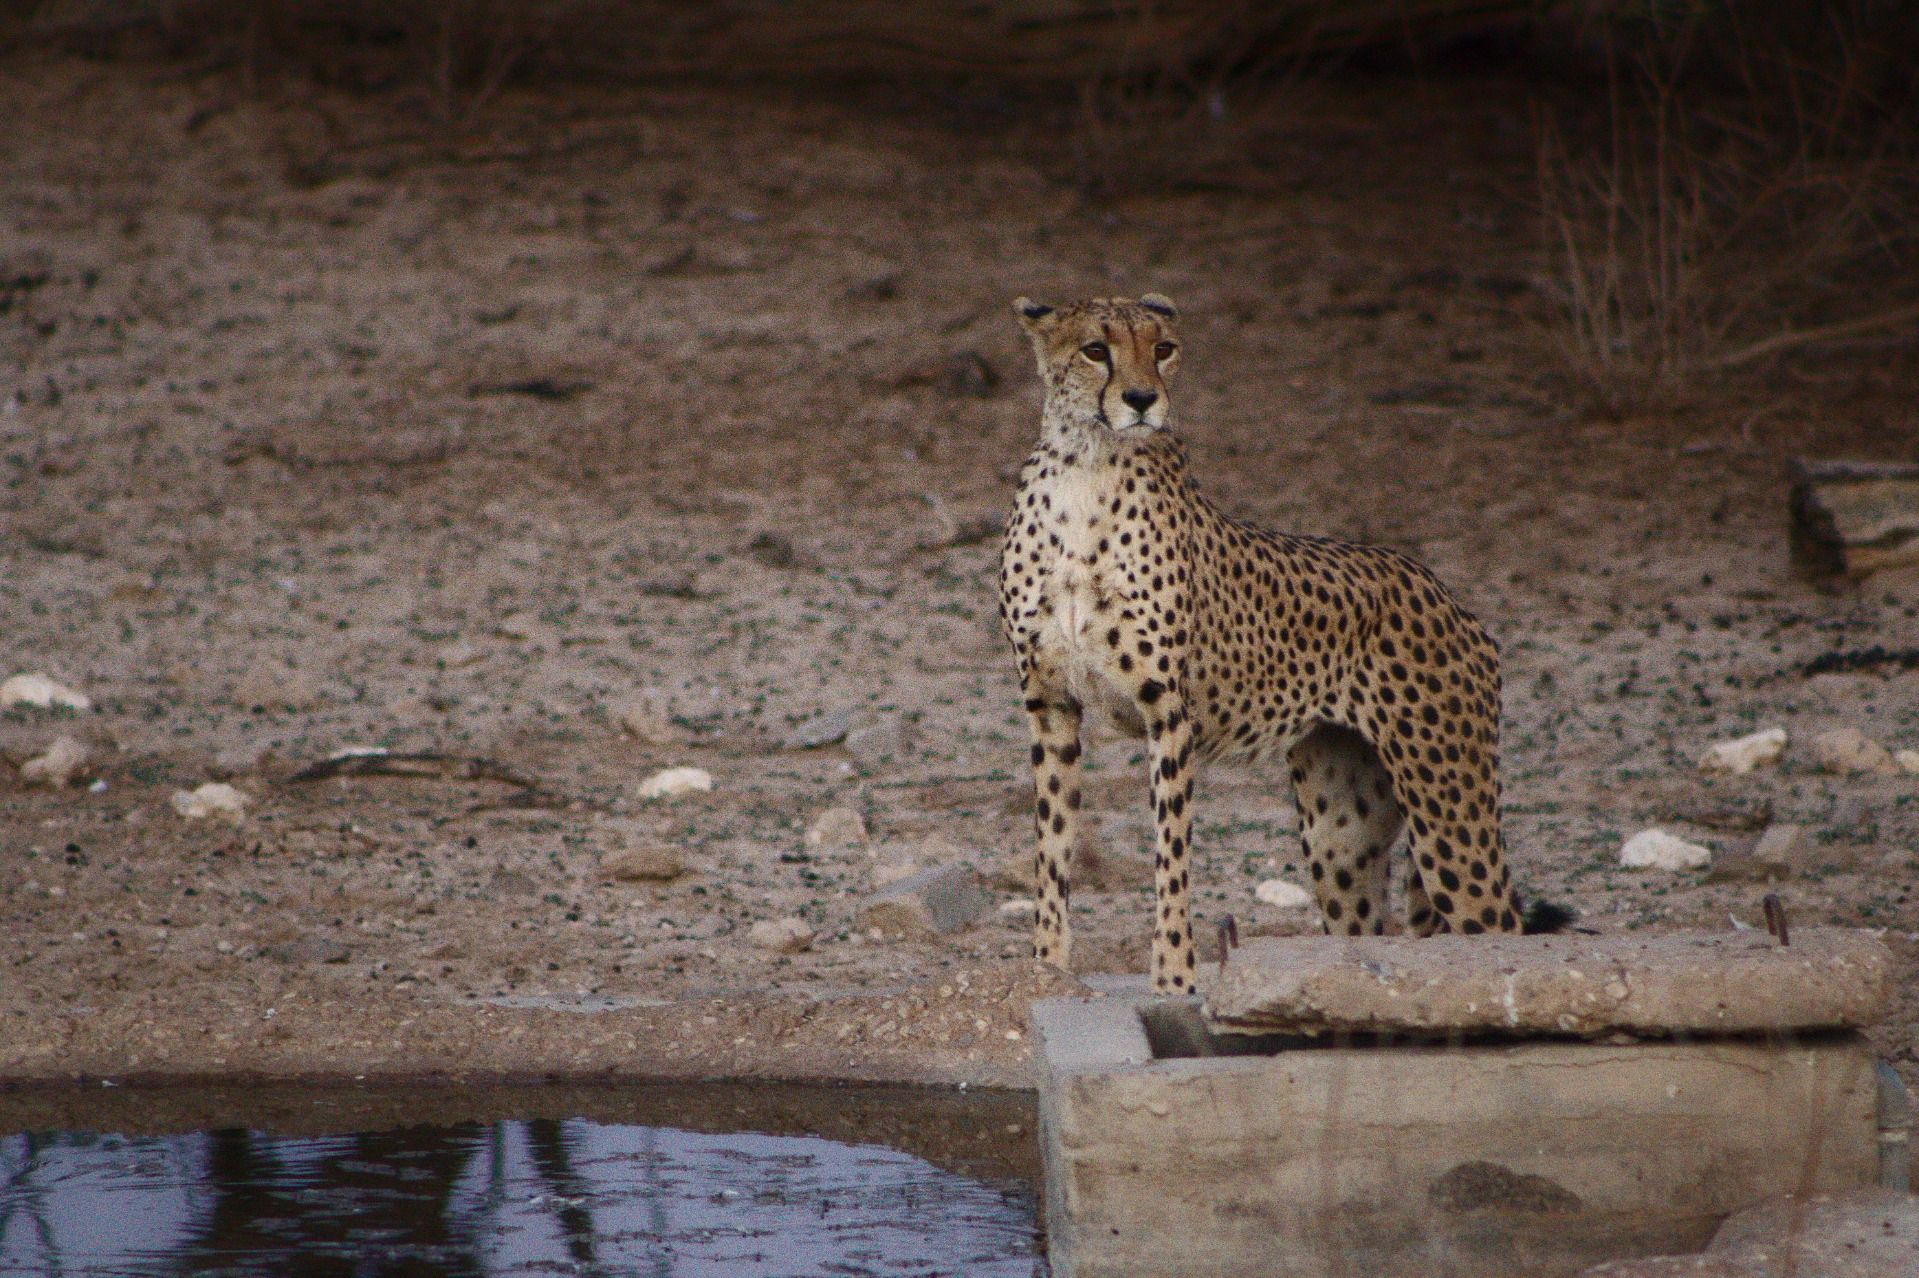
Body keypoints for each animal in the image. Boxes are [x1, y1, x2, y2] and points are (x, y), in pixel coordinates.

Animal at [998, 292, 1538, 995]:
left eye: (1163, 348)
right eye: (1096, 349)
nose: (1143, 399)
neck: (1086, 467)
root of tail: (1446, 592)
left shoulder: (1168, 712)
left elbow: (1172, 853)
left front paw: (1175, 978)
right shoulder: (1051, 704)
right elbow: (1053, 847)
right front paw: (1046, 969)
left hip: (1447, 807)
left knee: (1499, 923)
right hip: (1341, 836)